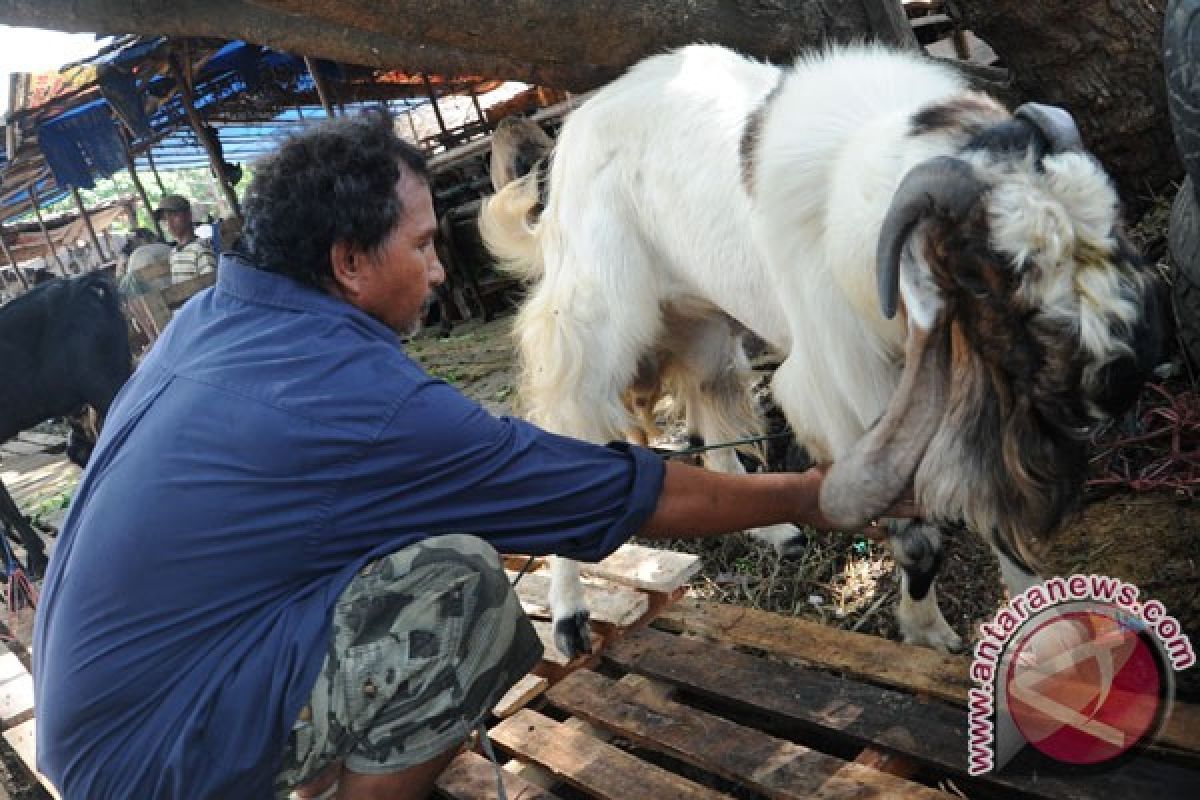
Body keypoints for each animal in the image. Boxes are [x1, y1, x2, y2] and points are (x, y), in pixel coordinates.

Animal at [477, 42, 1161, 657]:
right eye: (990, 272)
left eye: (1110, 232)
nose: (1118, 380)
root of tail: (577, 130)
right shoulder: (849, 394)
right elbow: (918, 536)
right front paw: (928, 634)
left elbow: (993, 511)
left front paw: (1047, 637)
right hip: (593, 324)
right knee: (572, 436)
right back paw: (570, 619)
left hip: (703, 320)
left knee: (713, 420)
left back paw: (777, 532)